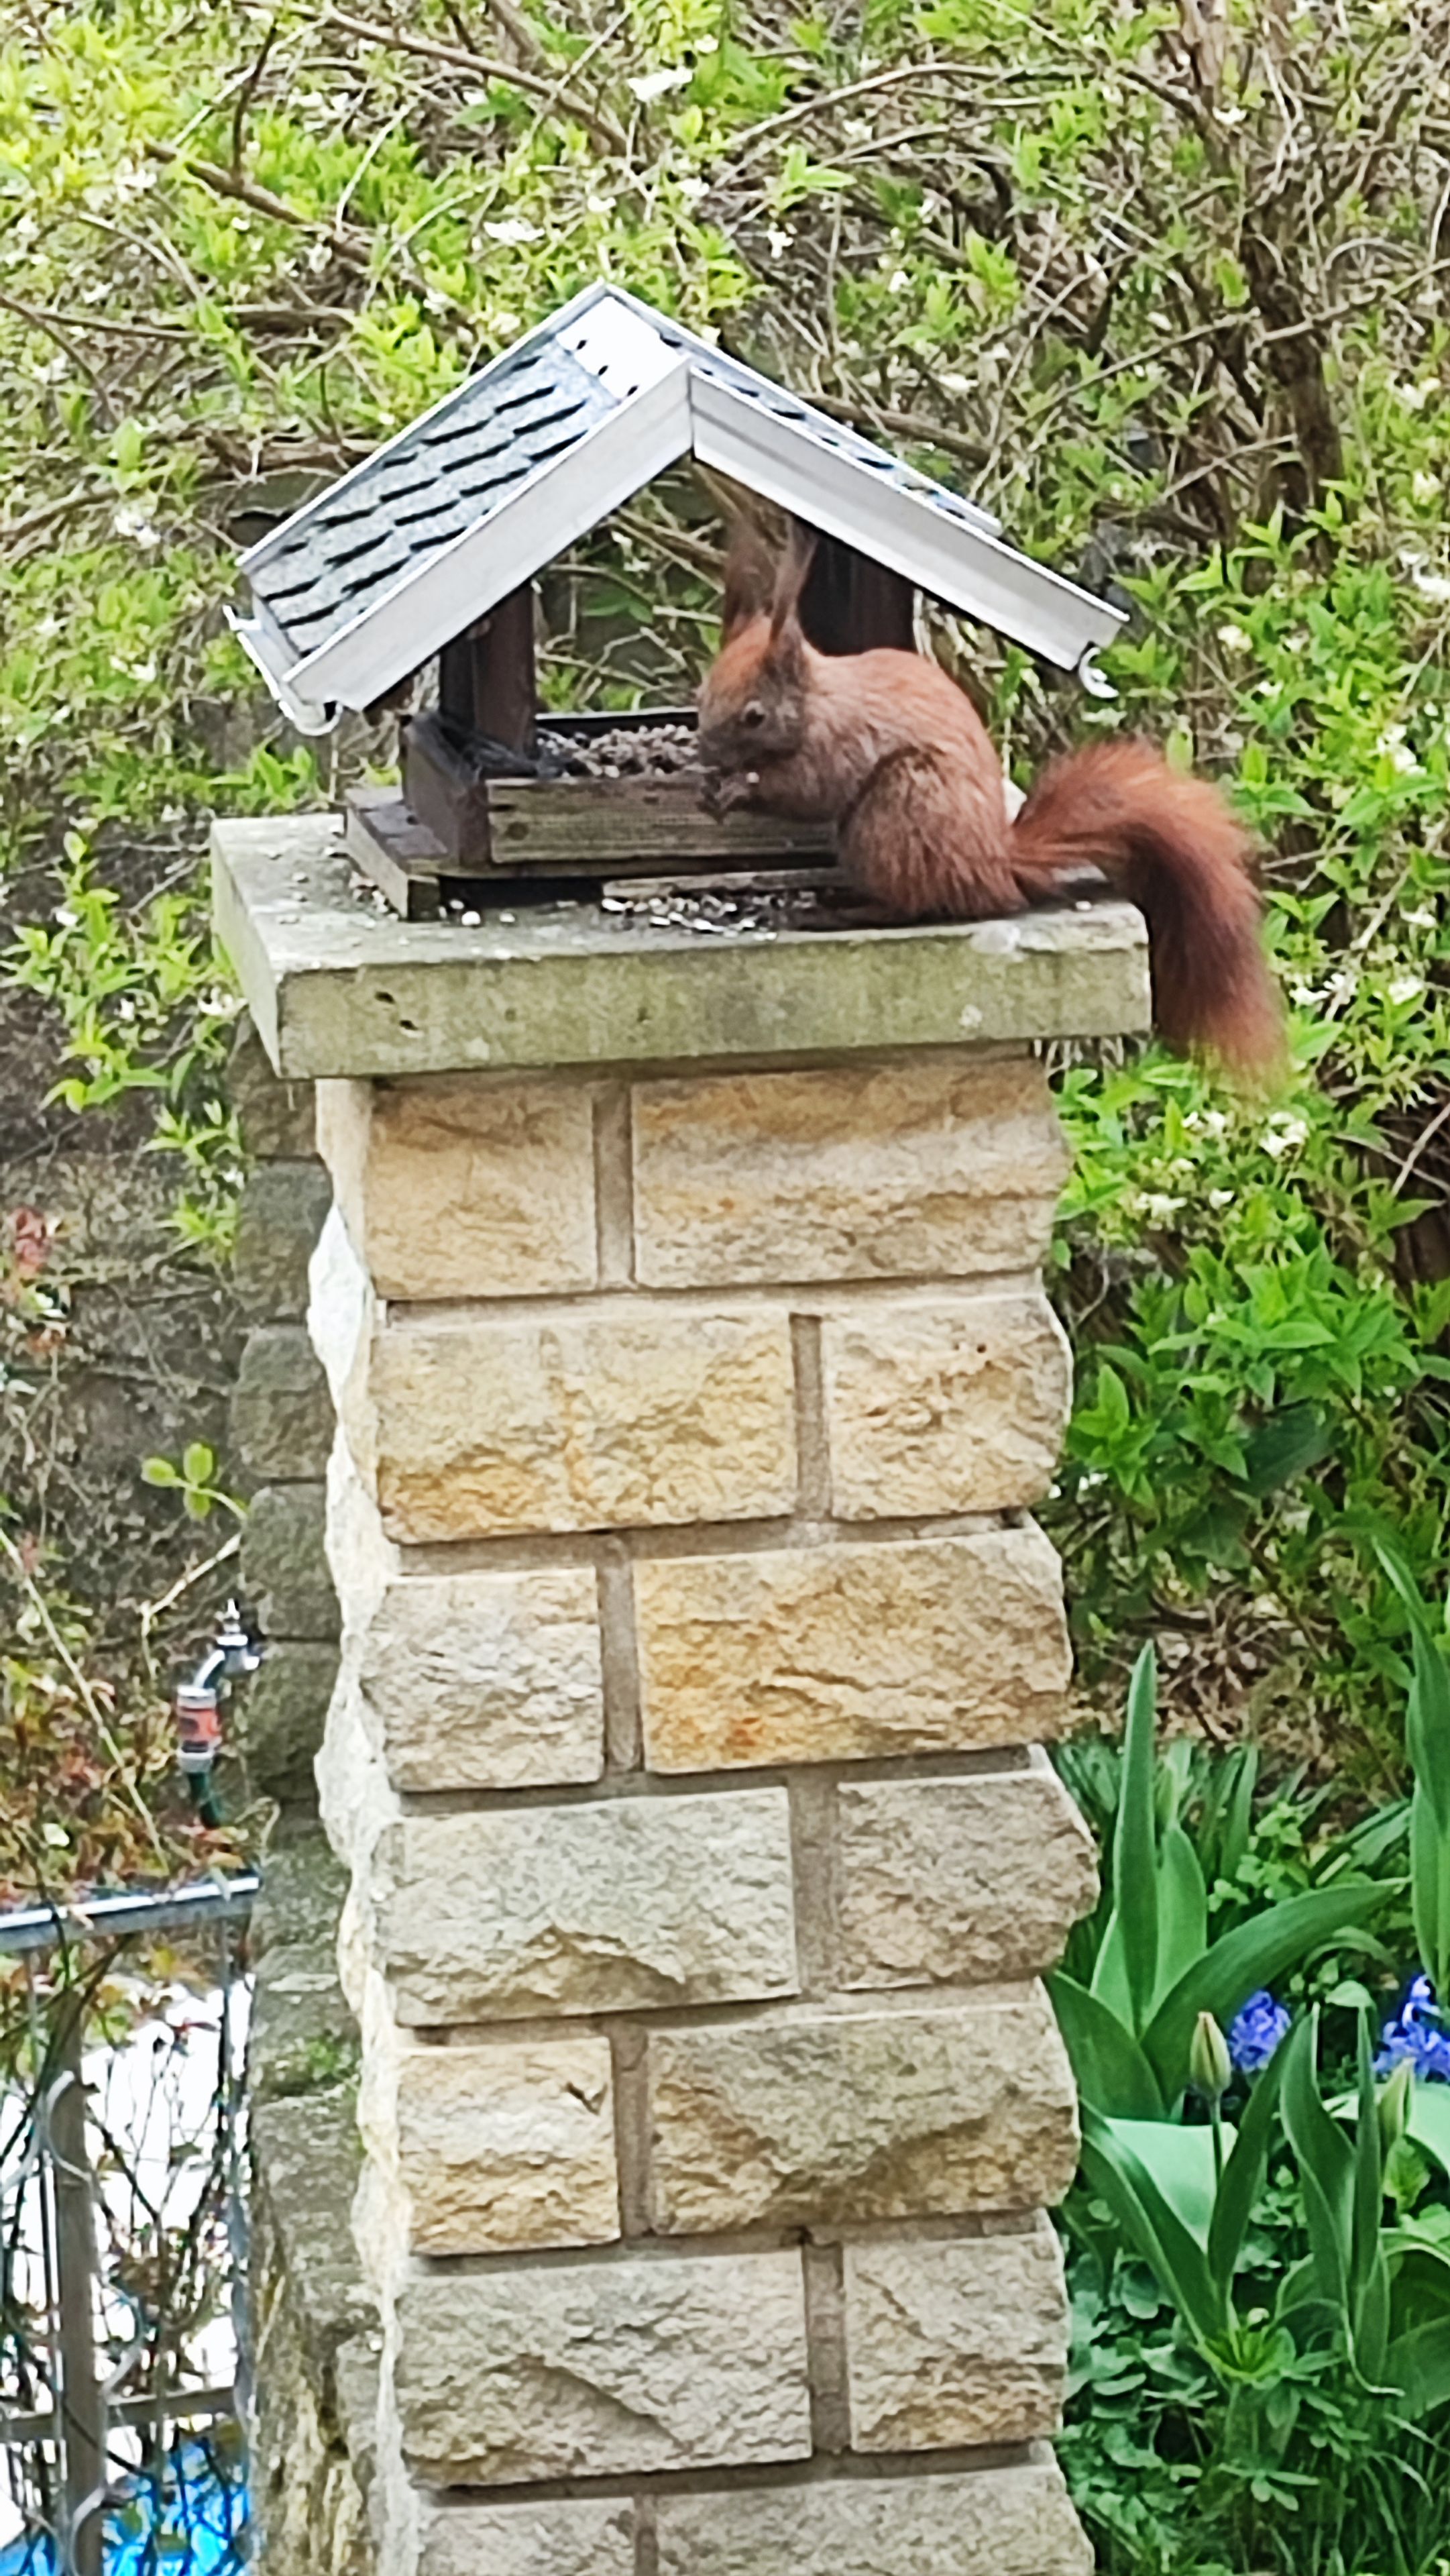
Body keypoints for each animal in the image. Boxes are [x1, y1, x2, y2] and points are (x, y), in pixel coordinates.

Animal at [697, 520, 1283, 1078]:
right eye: (703, 693)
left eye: (754, 716)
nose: (704, 749)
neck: (818, 701)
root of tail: (995, 863)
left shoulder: (839, 742)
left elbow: (809, 789)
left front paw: (738, 789)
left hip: (899, 808)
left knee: (914, 904)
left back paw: (845, 913)